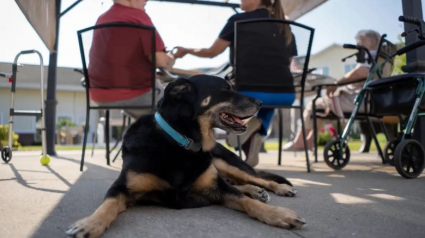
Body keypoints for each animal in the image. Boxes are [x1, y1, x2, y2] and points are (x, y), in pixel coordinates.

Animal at [66, 75, 304, 237]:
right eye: (226, 89)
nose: (261, 104)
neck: (180, 141)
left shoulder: (218, 187)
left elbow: (248, 202)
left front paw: (280, 215)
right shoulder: (121, 188)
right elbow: (107, 206)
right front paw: (89, 223)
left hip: (224, 162)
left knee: (255, 178)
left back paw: (277, 188)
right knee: (242, 182)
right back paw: (256, 190)